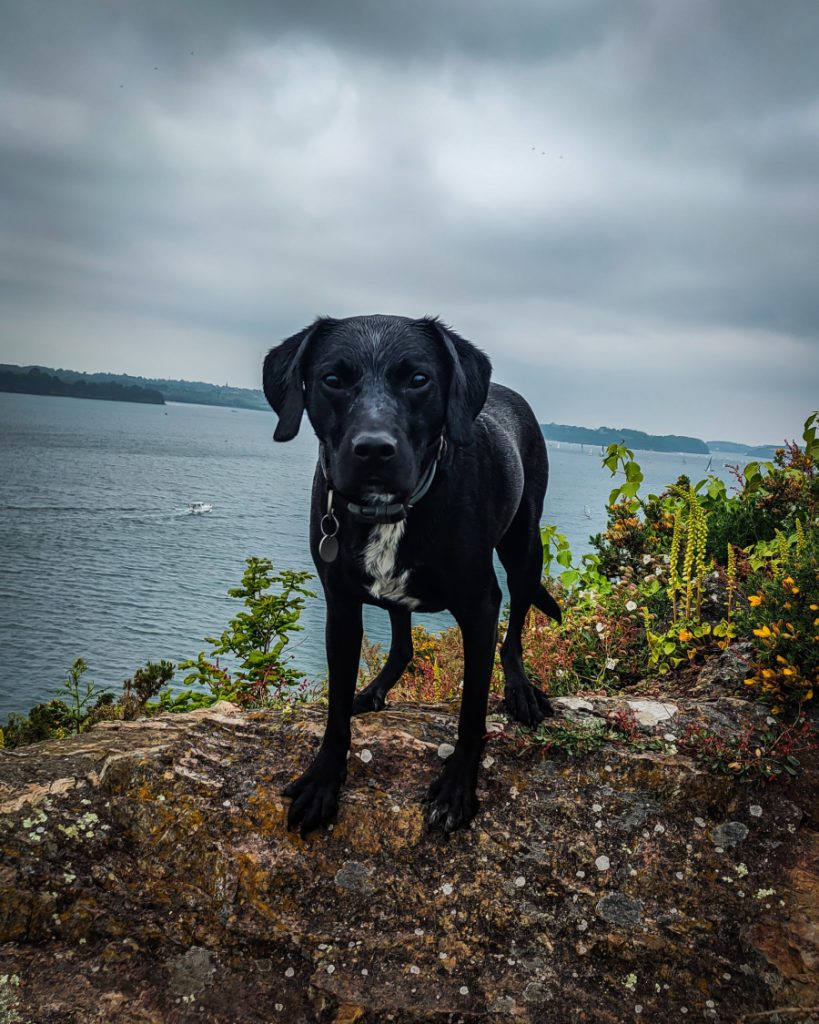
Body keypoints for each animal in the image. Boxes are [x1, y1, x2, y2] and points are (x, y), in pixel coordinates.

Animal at [266, 315, 561, 835]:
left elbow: (471, 712)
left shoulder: (480, 607)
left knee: (515, 631)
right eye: (332, 379)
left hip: (525, 549)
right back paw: (374, 691)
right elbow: (336, 709)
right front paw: (323, 781)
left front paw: (457, 788)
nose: (373, 449)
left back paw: (520, 689)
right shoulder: (341, 607)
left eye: (419, 379)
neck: (390, 511)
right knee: (402, 643)